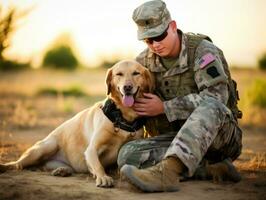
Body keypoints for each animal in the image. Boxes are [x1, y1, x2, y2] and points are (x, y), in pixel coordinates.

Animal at [0, 59, 154, 188]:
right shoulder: (91, 149)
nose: (127, 87)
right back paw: (6, 166)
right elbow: (98, 165)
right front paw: (103, 177)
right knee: (18, 164)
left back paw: (62, 170)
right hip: (46, 146)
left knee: (41, 166)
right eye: (119, 74)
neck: (120, 116)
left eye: (136, 73)